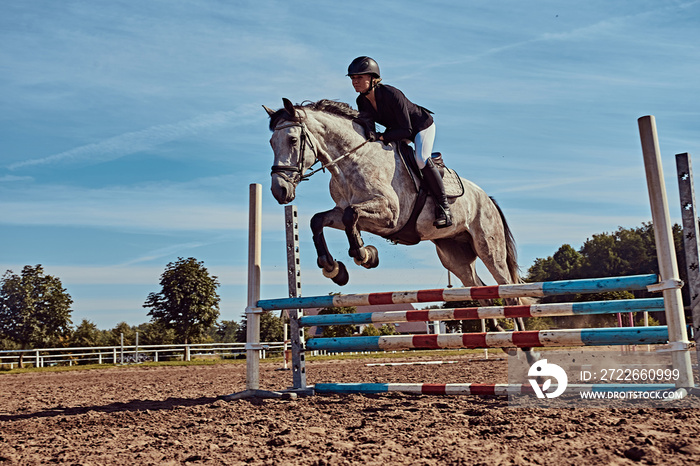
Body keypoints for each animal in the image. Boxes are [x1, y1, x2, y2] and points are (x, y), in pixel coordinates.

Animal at [266, 99, 524, 314]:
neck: (352, 161)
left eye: (292, 139)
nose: (279, 191)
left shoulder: (390, 215)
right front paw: (334, 268)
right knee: (481, 291)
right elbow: (319, 220)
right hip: (455, 256)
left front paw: (364, 254)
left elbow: (352, 215)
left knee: (509, 291)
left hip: (489, 249)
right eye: (271, 142)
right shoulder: (345, 213)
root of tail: (488, 199)